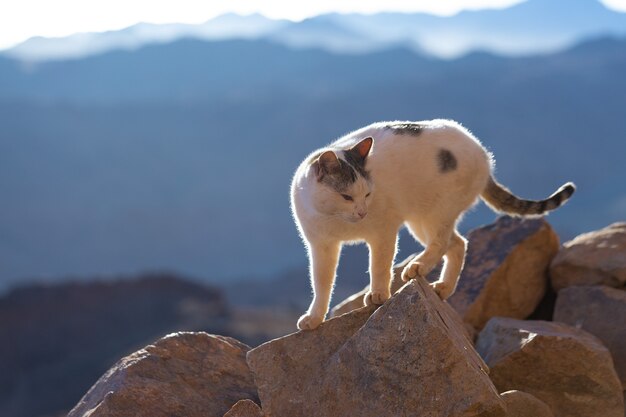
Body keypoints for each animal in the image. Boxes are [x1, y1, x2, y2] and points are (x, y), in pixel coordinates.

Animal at [290, 118, 572, 330]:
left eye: (368, 194)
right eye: (346, 197)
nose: (362, 212)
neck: (336, 219)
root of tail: (483, 153)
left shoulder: (383, 232)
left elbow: (379, 266)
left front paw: (378, 294)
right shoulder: (321, 246)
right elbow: (321, 283)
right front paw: (314, 318)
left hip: (436, 213)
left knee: (443, 243)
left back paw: (418, 267)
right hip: (421, 220)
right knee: (458, 244)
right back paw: (444, 288)